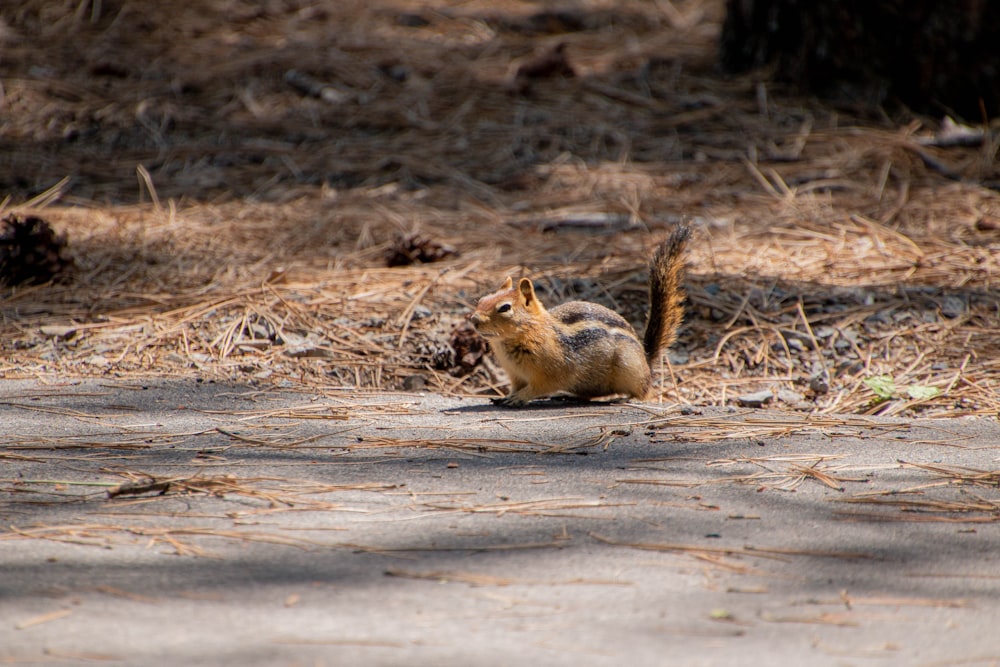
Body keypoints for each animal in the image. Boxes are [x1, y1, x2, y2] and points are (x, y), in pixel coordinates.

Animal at [468, 226, 688, 408]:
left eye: (505, 308)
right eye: (482, 300)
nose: (474, 320)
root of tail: (646, 359)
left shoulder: (551, 372)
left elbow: (538, 388)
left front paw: (519, 398)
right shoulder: (515, 374)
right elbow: (516, 386)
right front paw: (506, 396)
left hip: (629, 369)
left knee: (643, 392)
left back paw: (624, 398)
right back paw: (568, 396)